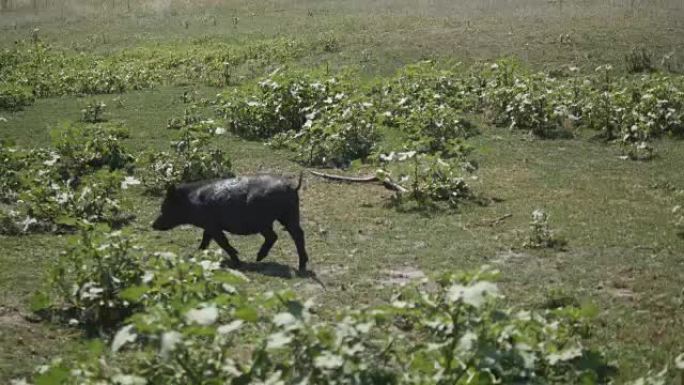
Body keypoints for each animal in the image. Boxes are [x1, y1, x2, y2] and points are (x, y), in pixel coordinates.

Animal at [154, 172, 308, 272]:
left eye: (165, 207)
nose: (153, 225)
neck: (193, 202)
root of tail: (291, 187)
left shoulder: (213, 226)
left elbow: (223, 242)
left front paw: (237, 261)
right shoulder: (209, 226)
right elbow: (205, 240)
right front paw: (198, 253)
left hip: (264, 221)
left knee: (279, 236)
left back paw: (260, 259)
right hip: (288, 215)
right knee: (294, 234)